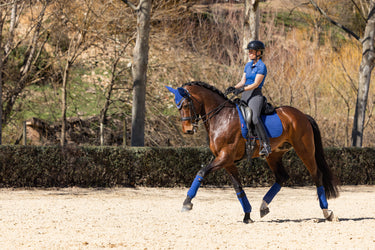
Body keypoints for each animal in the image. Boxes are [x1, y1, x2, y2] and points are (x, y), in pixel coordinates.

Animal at [166, 81, 340, 224]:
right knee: (282, 177)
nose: (188, 130)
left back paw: (327, 212)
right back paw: (263, 206)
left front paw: (187, 203)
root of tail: (302, 115)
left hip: (304, 150)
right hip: (274, 155)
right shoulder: (227, 161)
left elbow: (201, 172)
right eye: (177, 106)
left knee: (317, 175)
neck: (222, 118)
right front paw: (247, 215)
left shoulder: (224, 157)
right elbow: (238, 189)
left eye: (186, 105)